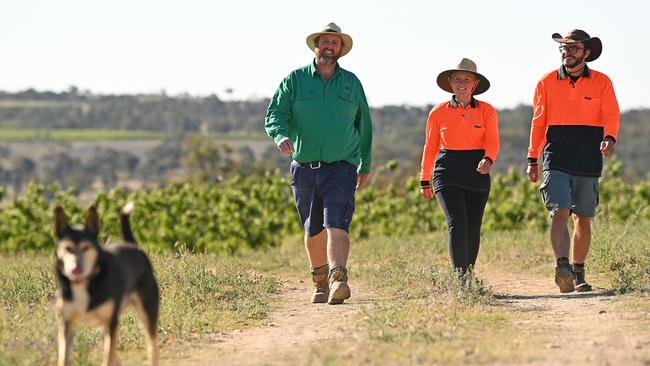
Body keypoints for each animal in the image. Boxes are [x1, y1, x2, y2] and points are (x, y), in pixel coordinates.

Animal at [54, 203, 158, 366]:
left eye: (86, 247)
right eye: (67, 248)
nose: (76, 268)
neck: (85, 283)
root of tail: (132, 245)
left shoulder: (111, 322)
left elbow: (108, 356)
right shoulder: (66, 324)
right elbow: (63, 358)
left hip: (147, 313)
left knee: (152, 347)